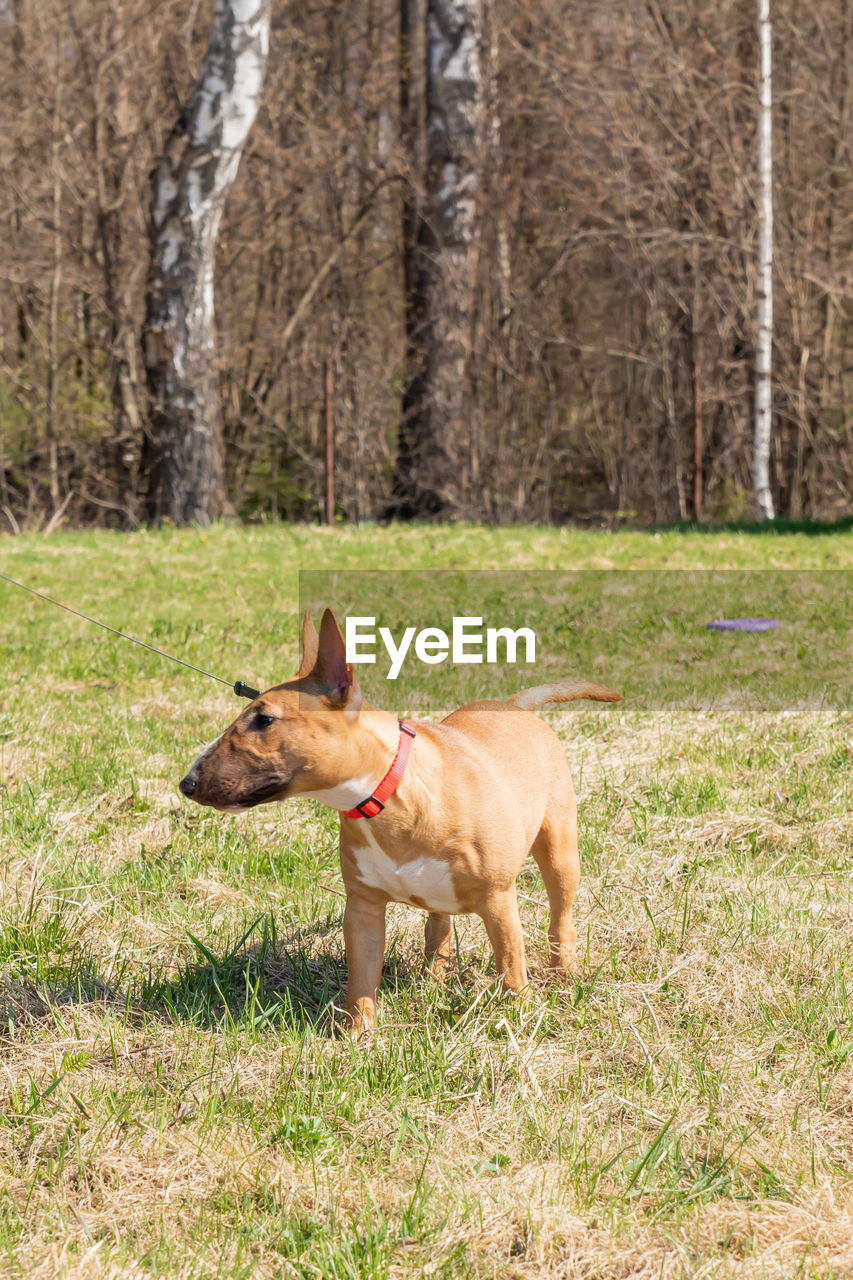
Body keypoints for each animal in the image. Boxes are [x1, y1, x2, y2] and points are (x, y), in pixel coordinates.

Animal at [178, 604, 617, 1034]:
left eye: (264, 720)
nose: (188, 783)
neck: (388, 796)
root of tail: (512, 704)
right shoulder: (363, 907)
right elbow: (361, 978)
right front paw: (357, 1034)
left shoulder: (498, 899)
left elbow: (511, 965)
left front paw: (519, 1020)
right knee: (439, 926)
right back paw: (433, 977)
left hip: (559, 849)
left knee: (560, 917)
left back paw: (563, 975)